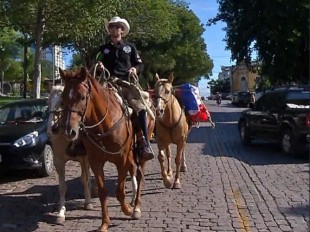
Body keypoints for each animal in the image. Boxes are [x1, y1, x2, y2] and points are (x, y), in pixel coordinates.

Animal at [46, 84, 92, 223]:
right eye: (48, 102)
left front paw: (88, 202)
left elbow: (85, 179)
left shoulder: (84, 158)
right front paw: (61, 213)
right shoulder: (58, 161)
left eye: (62, 102)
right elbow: (62, 187)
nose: (51, 129)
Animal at [58, 67, 155, 232]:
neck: (104, 124)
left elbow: (119, 191)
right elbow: (103, 192)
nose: (68, 131)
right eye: (63, 98)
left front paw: (128, 210)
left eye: (82, 97)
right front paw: (104, 223)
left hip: (140, 151)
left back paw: (136, 208)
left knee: (139, 174)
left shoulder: (121, 160)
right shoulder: (95, 162)